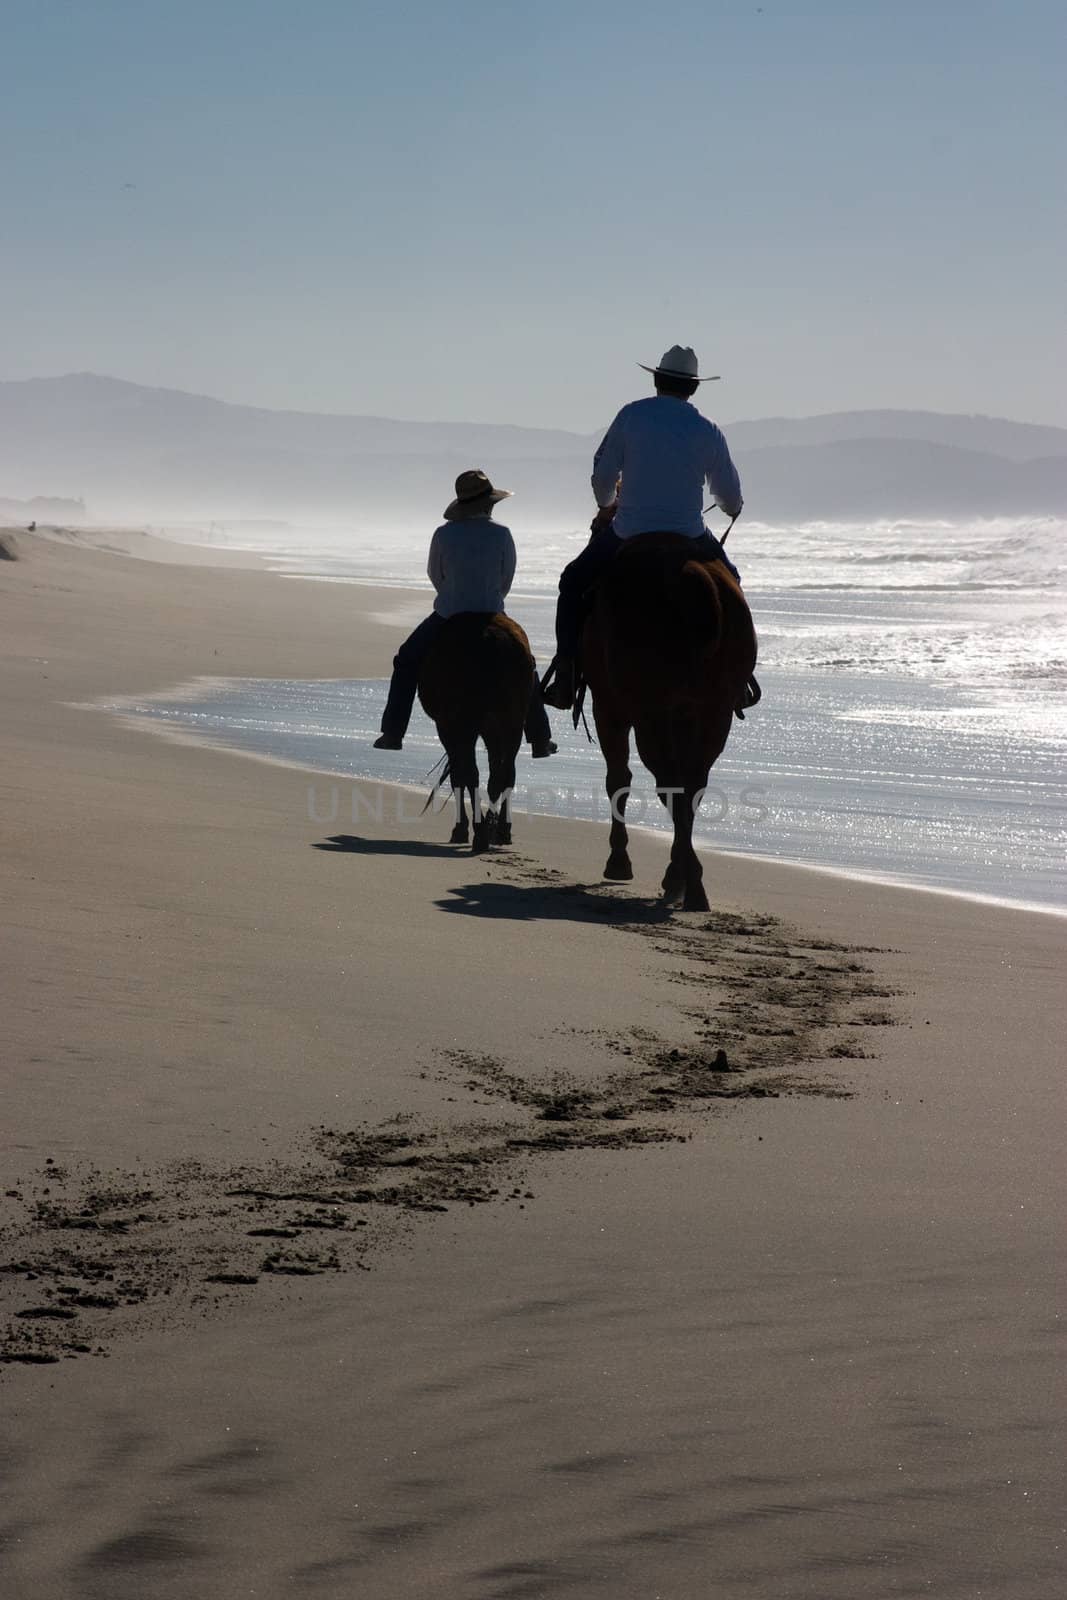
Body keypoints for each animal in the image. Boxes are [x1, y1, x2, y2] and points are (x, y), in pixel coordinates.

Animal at [415, 608, 534, 851]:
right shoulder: (490, 729)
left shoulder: (449, 728)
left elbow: (459, 776)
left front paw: (460, 828)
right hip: (512, 723)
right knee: (505, 773)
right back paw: (498, 829)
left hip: (466, 724)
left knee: (472, 774)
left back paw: (480, 834)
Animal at [579, 534, 755, 915]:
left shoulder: (609, 709)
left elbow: (618, 778)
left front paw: (619, 860)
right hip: (714, 713)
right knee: (690, 785)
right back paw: (687, 882)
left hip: (650, 713)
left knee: (669, 784)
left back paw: (685, 882)